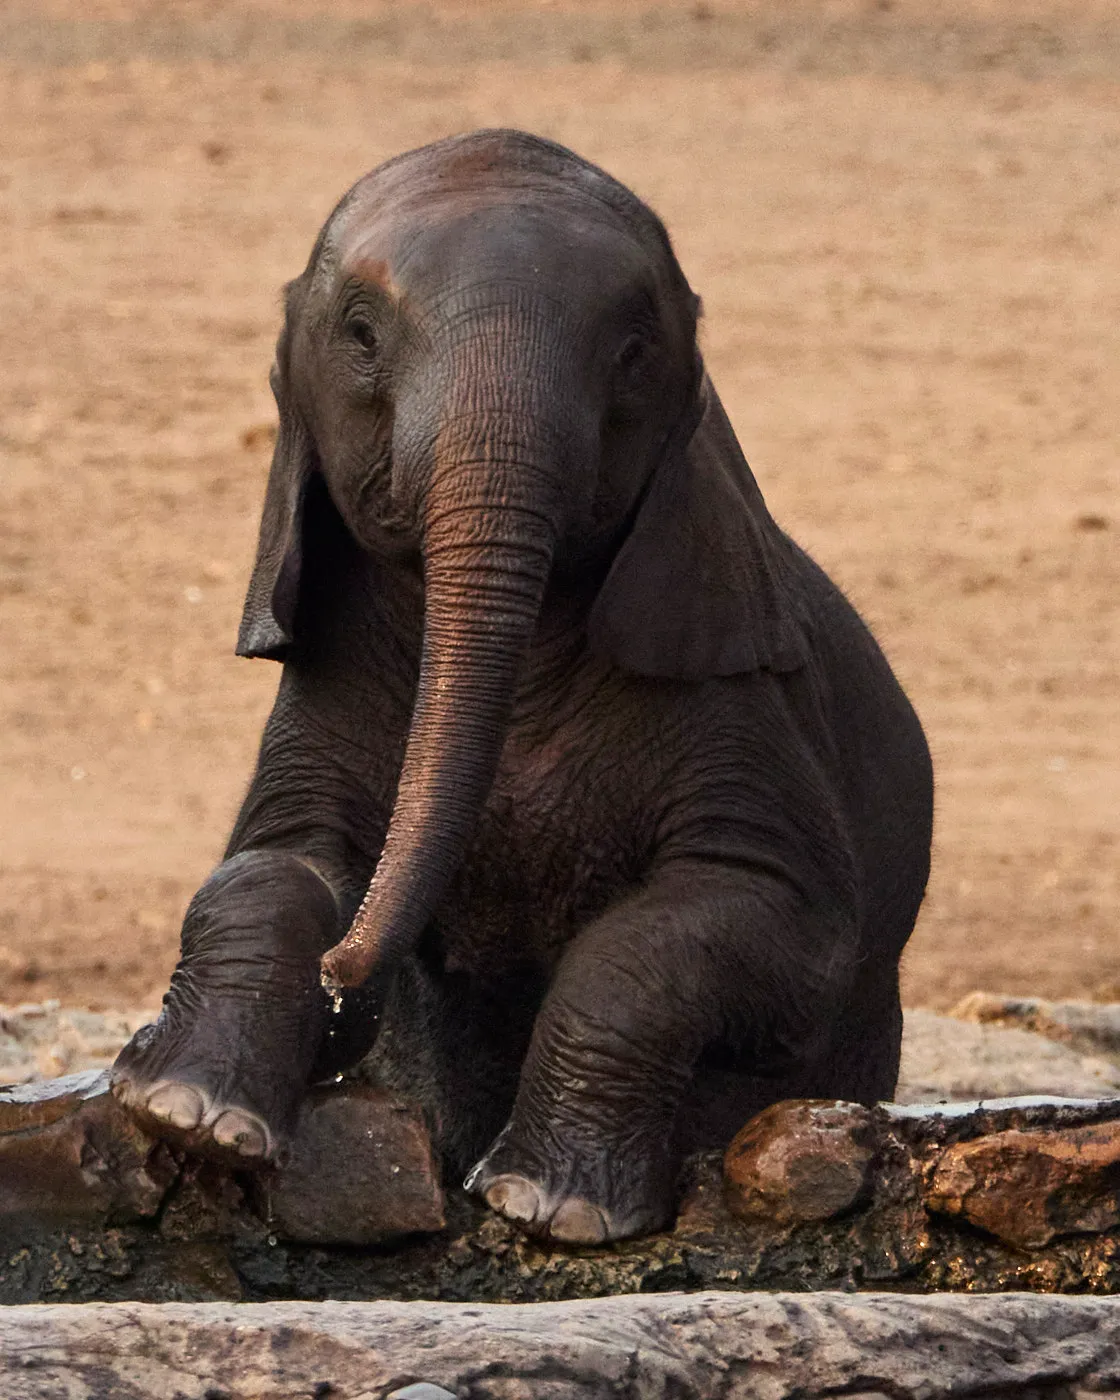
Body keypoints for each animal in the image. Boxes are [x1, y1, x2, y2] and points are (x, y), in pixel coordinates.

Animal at [112, 128, 933, 1245]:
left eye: (632, 352)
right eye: (360, 333)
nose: (345, 976)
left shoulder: (743, 707)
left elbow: (746, 922)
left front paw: (548, 1208)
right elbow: (279, 865)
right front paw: (187, 1112)